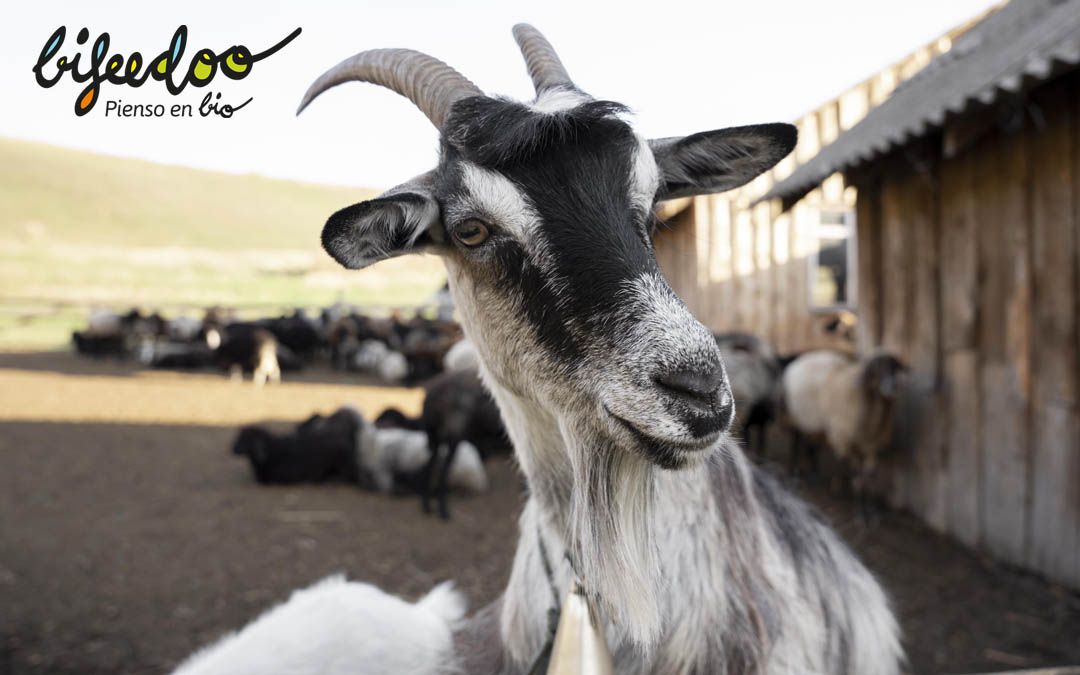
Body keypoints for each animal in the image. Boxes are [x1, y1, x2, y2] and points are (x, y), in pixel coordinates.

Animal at [781, 350, 907, 500]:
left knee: (811, 445)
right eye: (876, 368)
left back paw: (814, 474)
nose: (893, 386)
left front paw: (866, 502)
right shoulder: (843, 438)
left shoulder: (871, 445)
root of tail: (801, 358)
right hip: (796, 417)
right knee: (796, 441)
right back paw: (794, 472)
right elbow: (852, 470)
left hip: (814, 423)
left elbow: (868, 474)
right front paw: (847, 496)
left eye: (895, 367)